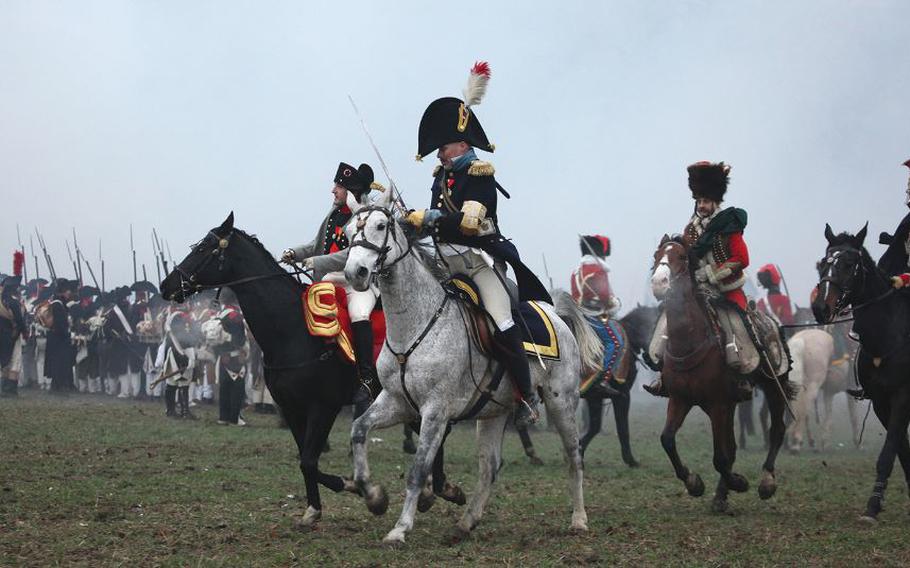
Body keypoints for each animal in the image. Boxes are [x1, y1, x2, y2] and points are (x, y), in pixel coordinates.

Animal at [162, 214, 366, 528]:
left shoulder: (324, 406)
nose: (166, 284)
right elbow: (306, 460)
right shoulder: (293, 407)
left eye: (204, 248)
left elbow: (309, 460)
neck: (294, 332)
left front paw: (360, 488)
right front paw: (314, 509)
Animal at [344, 192, 600, 544]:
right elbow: (358, 430)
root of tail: (556, 316)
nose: (355, 272)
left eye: (381, 225)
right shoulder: (396, 402)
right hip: (493, 412)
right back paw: (466, 522)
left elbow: (418, 470)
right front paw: (374, 497)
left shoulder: (435, 412)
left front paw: (400, 528)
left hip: (562, 403)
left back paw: (579, 519)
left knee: (574, 457)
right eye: (347, 231)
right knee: (490, 466)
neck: (416, 326)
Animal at [580, 304, 660, 464]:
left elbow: (594, 427)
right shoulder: (622, 395)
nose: (654, 358)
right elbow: (623, 428)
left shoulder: (595, 398)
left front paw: (578, 450)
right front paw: (630, 460)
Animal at [652, 237, 796, 512]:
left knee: (777, 430)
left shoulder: (718, 403)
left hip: (773, 387)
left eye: (682, 257)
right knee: (732, 445)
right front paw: (694, 483)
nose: (658, 283)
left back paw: (766, 481)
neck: (689, 340)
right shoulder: (681, 399)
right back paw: (721, 495)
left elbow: (720, 457)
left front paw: (738, 482)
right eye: (656, 256)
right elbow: (667, 440)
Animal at [812, 224, 910, 520]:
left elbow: (889, 451)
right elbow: (901, 448)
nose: (820, 308)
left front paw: (873, 505)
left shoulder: (902, 397)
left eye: (848, 264)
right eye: (824, 262)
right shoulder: (880, 401)